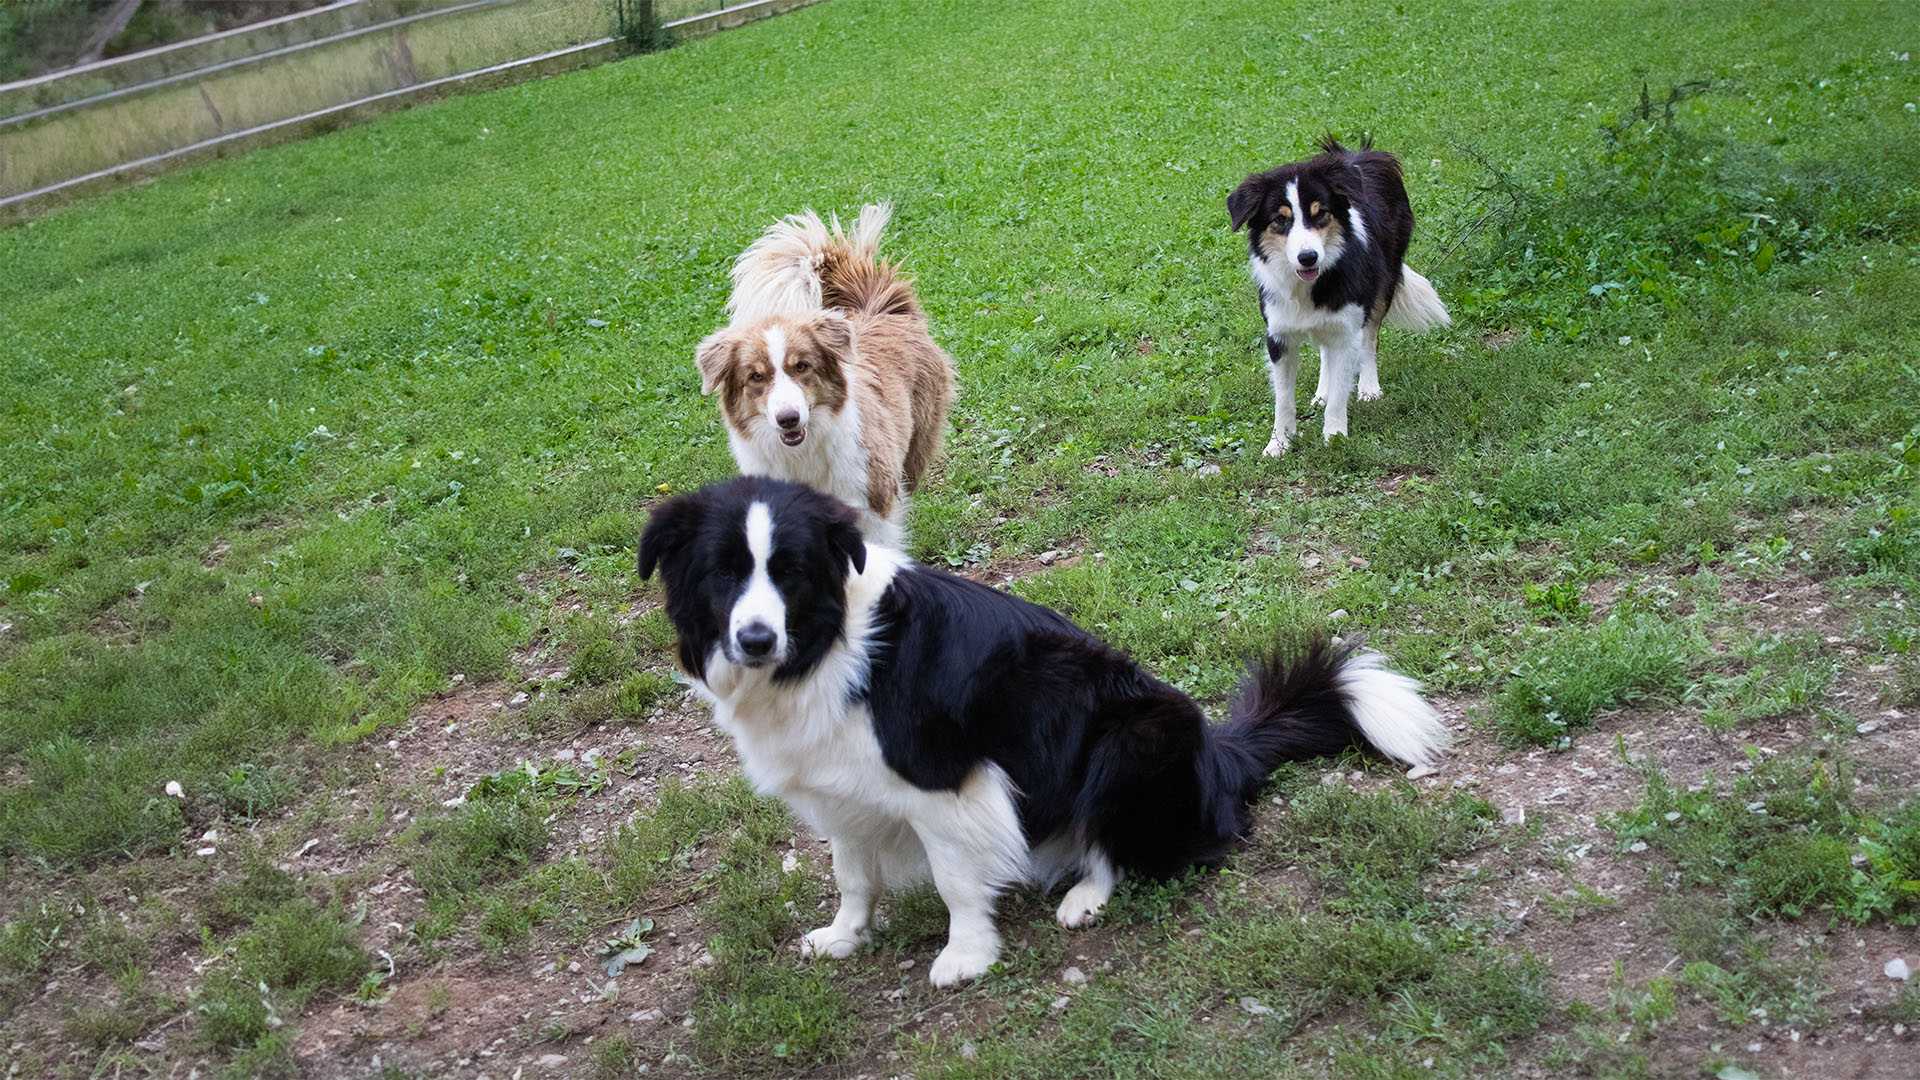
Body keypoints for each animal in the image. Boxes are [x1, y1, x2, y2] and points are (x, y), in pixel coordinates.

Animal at [637, 478, 1443, 983]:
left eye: (791, 571)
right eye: (724, 573)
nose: (755, 639)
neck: (825, 646)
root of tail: (1221, 751)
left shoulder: (949, 783)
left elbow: (957, 880)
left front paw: (966, 956)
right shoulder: (841, 788)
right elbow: (852, 873)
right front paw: (843, 935)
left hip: (1134, 737)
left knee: (1123, 844)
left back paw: (1086, 895)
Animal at [695, 200, 956, 541]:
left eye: (802, 366)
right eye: (756, 376)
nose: (788, 418)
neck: (802, 456)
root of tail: (877, 305)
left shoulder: (873, 501)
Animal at [1236, 136, 1443, 451]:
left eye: (1320, 213)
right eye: (1280, 220)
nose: (1308, 257)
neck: (1310, 286)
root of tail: (1359, 154)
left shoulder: (1348, 327)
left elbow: (1340, 388)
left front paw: (1334, 437)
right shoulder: (1279, 334)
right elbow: (1283, 399)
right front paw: (1279, 444)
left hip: (1382, 285)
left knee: (1369, 339)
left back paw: (1369, 388)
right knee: (1326, 349)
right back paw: (1321, 391)